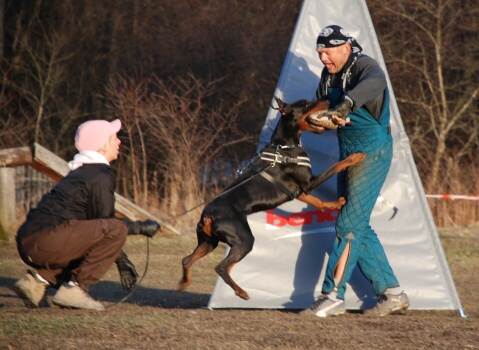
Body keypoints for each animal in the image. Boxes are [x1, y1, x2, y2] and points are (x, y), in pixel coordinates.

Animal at [178, 97, 366, 300]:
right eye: (307, 103)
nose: (326, 99)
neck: (283, 146)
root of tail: (207, 214)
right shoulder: (308, 183)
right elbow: (336, 166)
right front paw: (355, 157)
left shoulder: (298, 191)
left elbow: (318, 201)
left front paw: (336, 203)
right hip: (243, 240)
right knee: (221, 267)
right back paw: (241, 292)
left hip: (208, 242)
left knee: (187, 260)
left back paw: (184, 283)